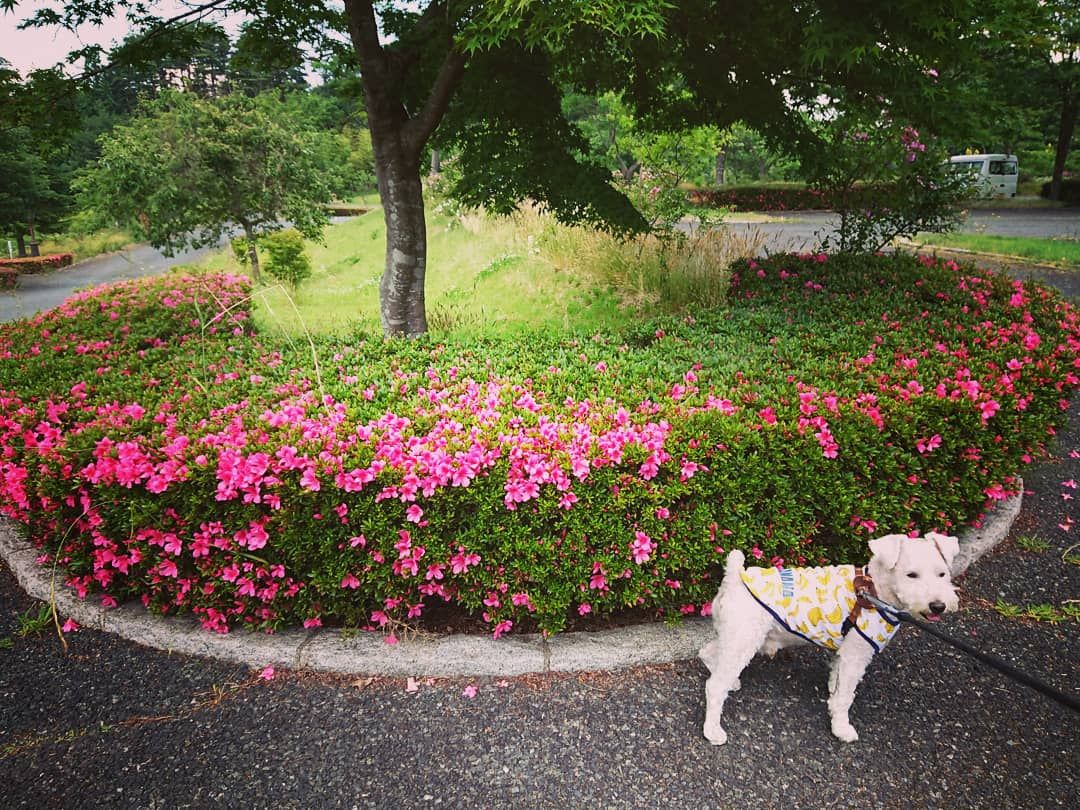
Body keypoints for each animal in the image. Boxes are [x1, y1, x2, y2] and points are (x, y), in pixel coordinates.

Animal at [699, 533, 963, 747]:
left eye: (942, 573)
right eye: (911, 575)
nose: (938, 606)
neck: (875, 591)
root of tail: (735, 576)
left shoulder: (846, 651)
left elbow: (837, 677)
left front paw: (832, 692)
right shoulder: (857, 652)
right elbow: (845, 696)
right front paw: (841, 728)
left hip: (735, 635)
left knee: (708, 653)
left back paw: (731, 682)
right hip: (744, 638)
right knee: (714, 685)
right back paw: (713, 730)